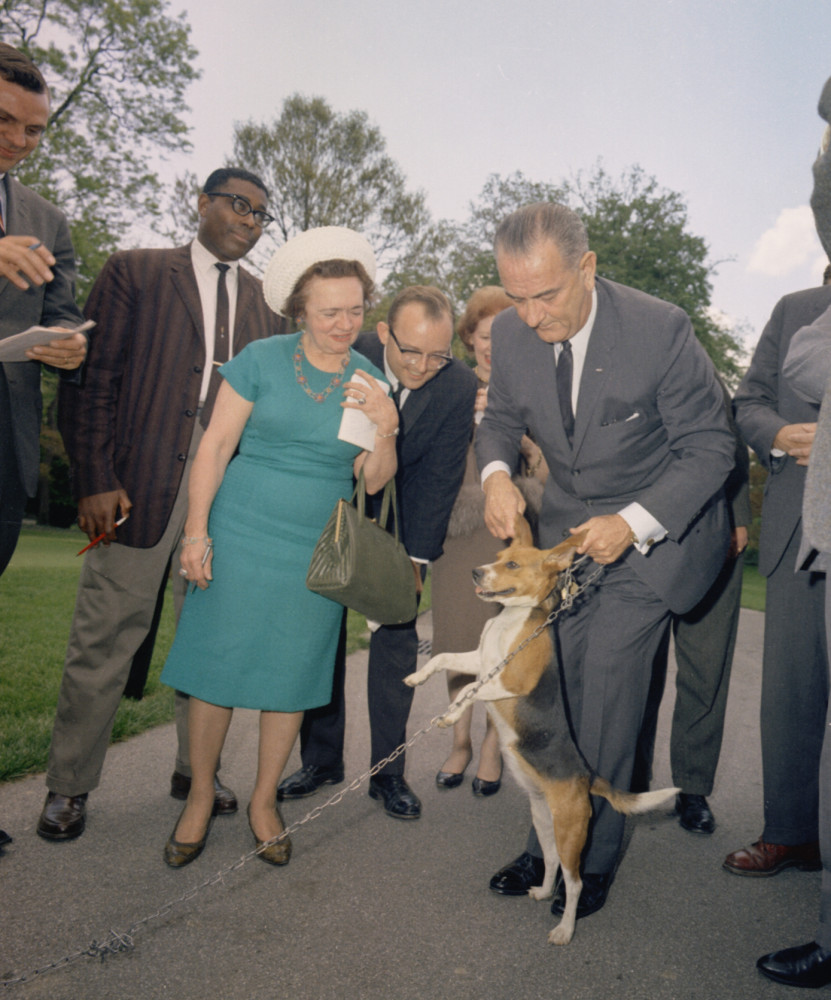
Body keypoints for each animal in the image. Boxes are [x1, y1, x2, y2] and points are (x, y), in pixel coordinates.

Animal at [406, 516, 680, 944]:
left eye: (513, 565)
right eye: (499, 554)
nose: (476, 572)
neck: (512, 619)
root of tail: (587, 776)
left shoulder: (508, 681)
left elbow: (468, 690)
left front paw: (450, 715)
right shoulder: (479, 660)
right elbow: (443, 658)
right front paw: (417, 678)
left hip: (571, 832)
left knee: (576, 882)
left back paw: (565, 928)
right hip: (543, 820)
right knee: (549, 862)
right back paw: (541, 890)